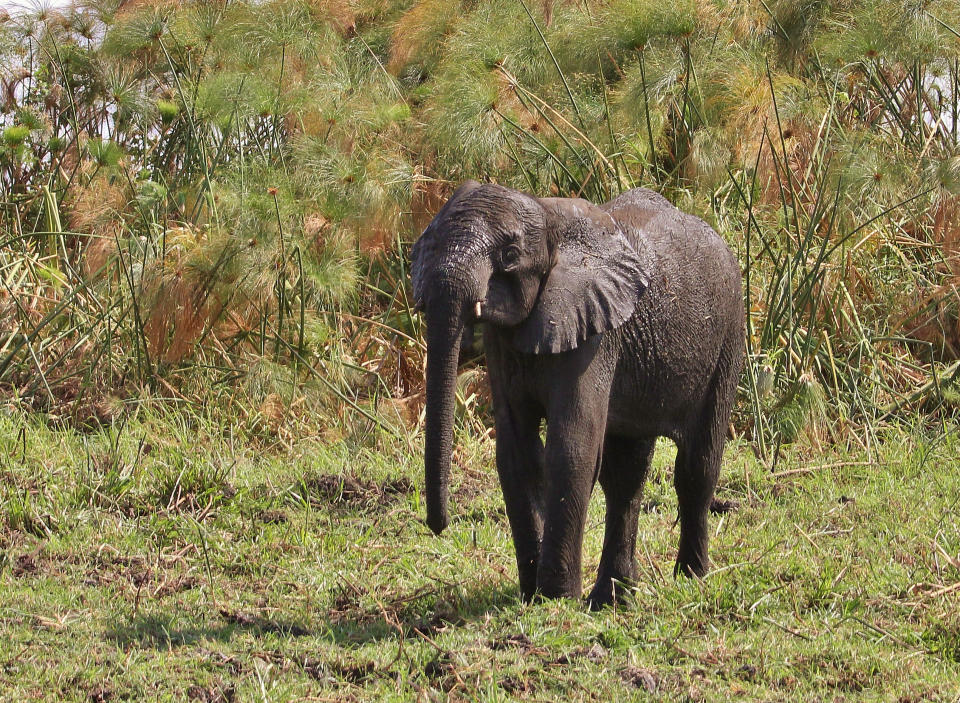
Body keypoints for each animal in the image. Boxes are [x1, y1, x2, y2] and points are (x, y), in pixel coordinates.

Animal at [408, 180, 748, 604]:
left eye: (509, 255)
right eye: (430, 242)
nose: (439, 526)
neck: (549, 218)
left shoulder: (595, 335)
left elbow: (571, 448)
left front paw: (555, 597)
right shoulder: (506, 342)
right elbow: (517, 453)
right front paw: (532, 593)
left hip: (728, 334)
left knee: (697, 466)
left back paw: (691, 576)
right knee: (625, 477)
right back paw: (614, 599)